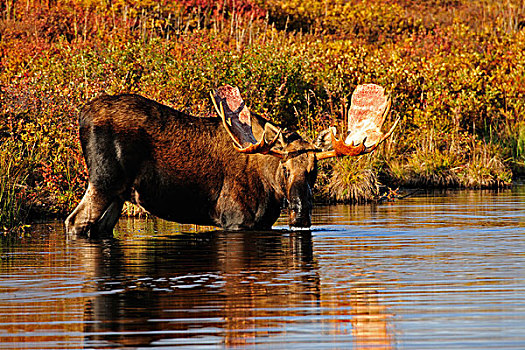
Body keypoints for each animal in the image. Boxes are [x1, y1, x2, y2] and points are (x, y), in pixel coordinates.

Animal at [63, 85, 396, 238]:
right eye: (285, 168)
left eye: (315, 170)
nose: (301, 209)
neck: (270, 190)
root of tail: (81, 115)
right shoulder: (235, 220)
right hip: (104, 181)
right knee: (75, 221)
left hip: (119, 194)